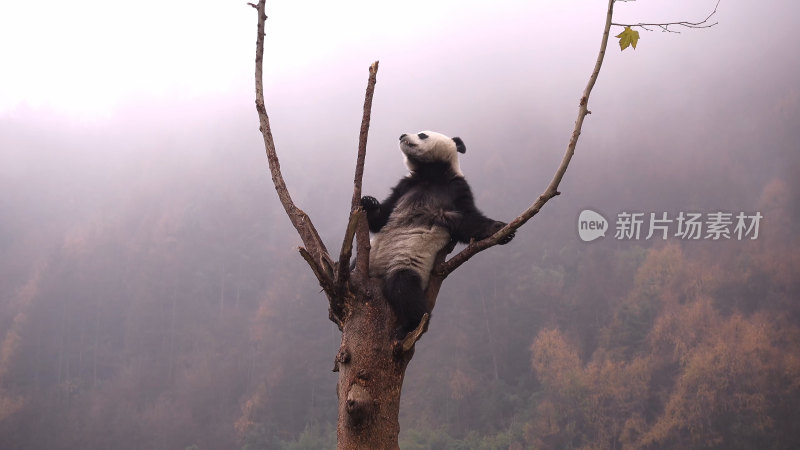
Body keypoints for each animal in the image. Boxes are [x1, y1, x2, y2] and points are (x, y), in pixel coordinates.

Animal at [360, 130, 516, 338]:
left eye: (422, 134)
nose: (402, 135)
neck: (430, 174)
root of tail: (377, 273)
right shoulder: (405, 185)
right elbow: (383, 217)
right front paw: (369, 202)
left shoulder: (455, 187)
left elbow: (468, 220)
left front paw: (501, 230)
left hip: (406, 260)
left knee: (403, 287)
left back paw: (411, 326)